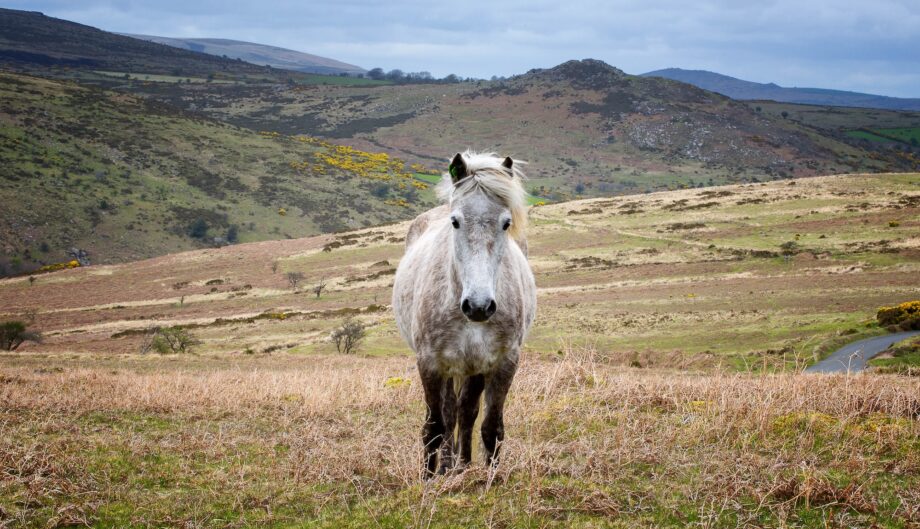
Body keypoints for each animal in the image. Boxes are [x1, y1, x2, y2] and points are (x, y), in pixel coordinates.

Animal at [392, 151, 537, 476]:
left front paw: (491, 478)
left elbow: (491, 427)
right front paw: (427, 478)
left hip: (474, 368)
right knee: (448, 413)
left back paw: (462, 465)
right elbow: (434, 427)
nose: (479, 306)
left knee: (465, 412)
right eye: (455, 221)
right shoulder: (430, 363)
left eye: (506, 223)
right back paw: (446, 467)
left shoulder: (502, 363)